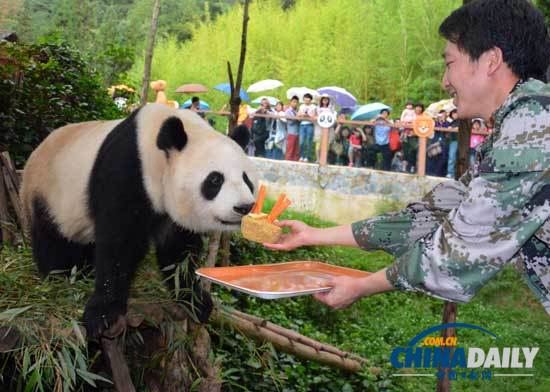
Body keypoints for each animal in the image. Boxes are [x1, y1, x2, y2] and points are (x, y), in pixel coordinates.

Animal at [21, 103, 258, 336]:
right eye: (215, 179)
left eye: (246, 179)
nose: (244, 207)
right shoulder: (126, 172)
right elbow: (119, 245)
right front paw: (102, 315)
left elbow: (177, 253)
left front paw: (196, 302)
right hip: (49, 196)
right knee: (52, 240)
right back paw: (58, 275)